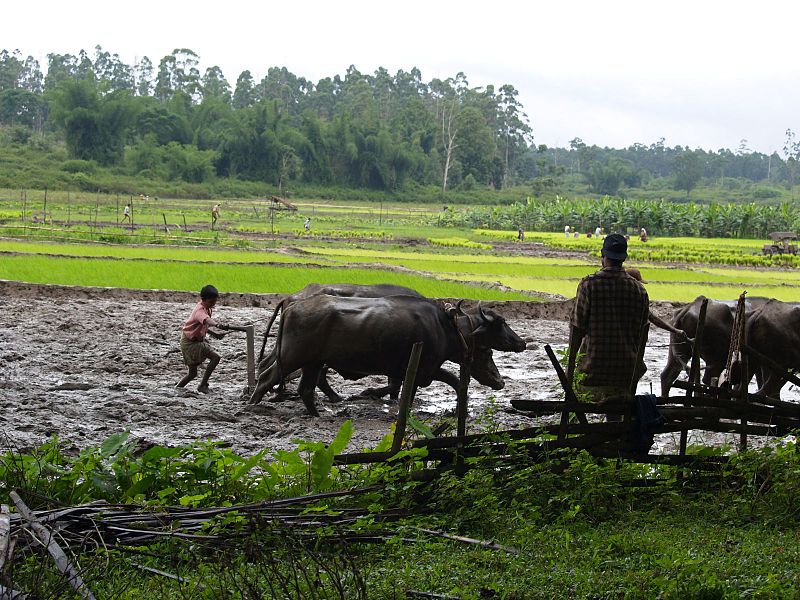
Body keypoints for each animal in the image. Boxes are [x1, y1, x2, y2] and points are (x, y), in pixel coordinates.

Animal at [250, 296, 524, 418]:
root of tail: (293, 304)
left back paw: (318, 414)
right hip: (293, 357)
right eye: (501, 323)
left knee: (305, 389)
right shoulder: (423, 369)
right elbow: (452, 383)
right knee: (266, 376)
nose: (521, 342)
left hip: (313, 362)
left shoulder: (415, 370)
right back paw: (252, 405)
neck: (446, 327)